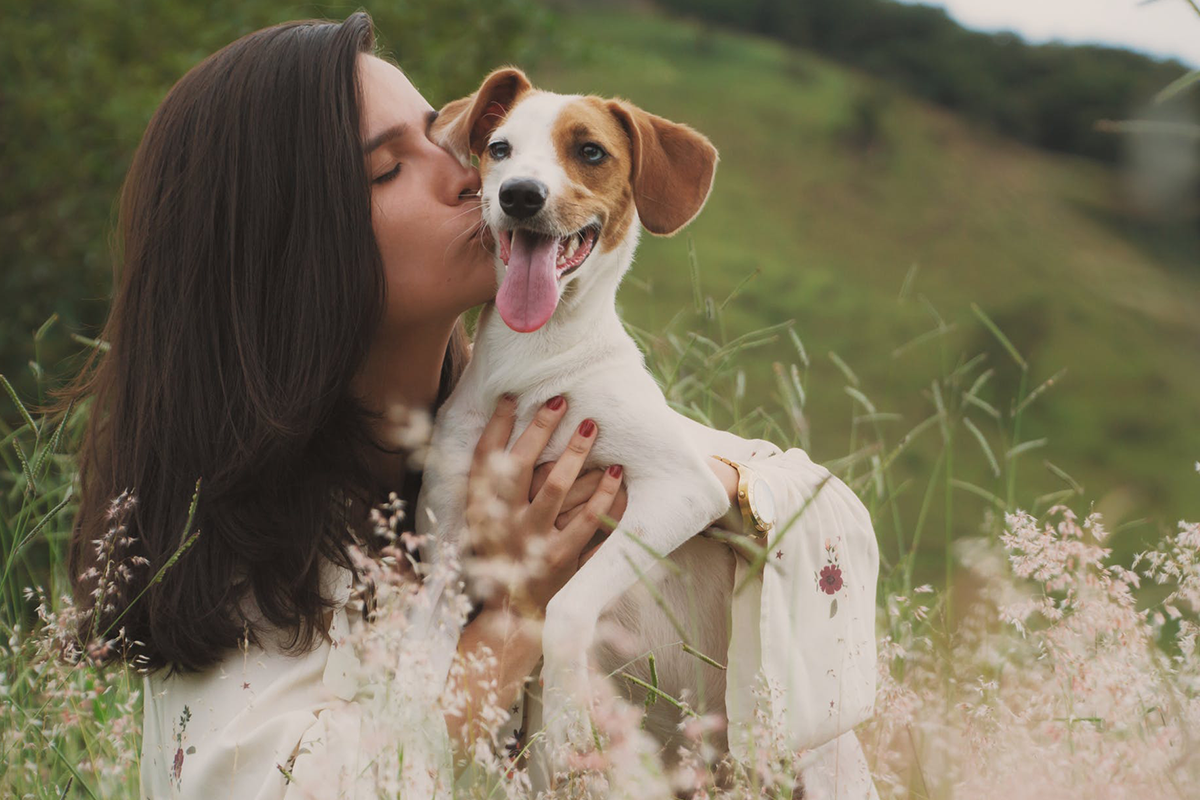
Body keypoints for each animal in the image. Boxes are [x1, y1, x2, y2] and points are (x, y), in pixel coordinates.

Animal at [417, 65, 744, 786]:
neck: (534, 361)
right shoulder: (446, 546)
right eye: (500, 148)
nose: (518, 195)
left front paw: (569, 717)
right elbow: (418, 661)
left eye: (590, 151)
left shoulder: (682, 488)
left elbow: (566, 610)